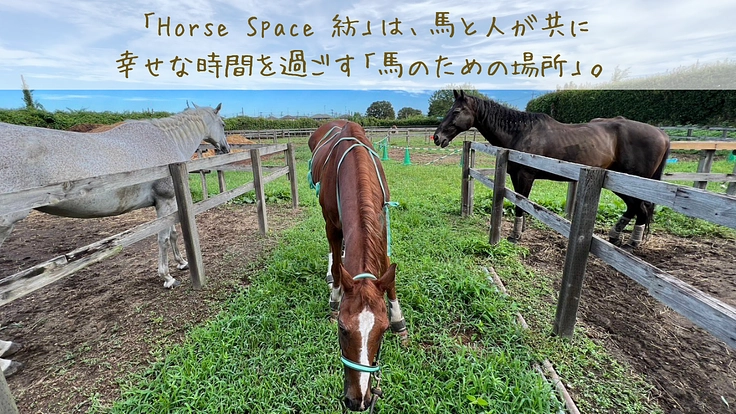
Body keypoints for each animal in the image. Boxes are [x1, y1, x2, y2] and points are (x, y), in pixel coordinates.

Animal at [0, 103, 230, 289]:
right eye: (222, 124)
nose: (226, 148)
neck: (167, 140)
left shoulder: (170, 202)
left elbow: (173, 233)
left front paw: (181, 263)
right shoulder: (165, 200)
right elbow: (163, 238)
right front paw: (167, 277)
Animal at [308, 120, 408, 411]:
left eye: (383, 329)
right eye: (342, 328)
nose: (359, 400)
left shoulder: (381, 223)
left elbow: (388, 274)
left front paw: (400, 322)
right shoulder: (332, 224)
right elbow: (336, 259)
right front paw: (335, 296)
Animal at [434, 90, 671, 249]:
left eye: (456, 111)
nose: (437, 137)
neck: (521, 132)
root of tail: (662, 134)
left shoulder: (525, 177)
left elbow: (520, 204)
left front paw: (515, 235)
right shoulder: (515, 176)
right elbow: (521, 203)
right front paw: (521, 230)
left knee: (640, 209)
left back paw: (632, 242)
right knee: (635, 208)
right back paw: (616, 236)